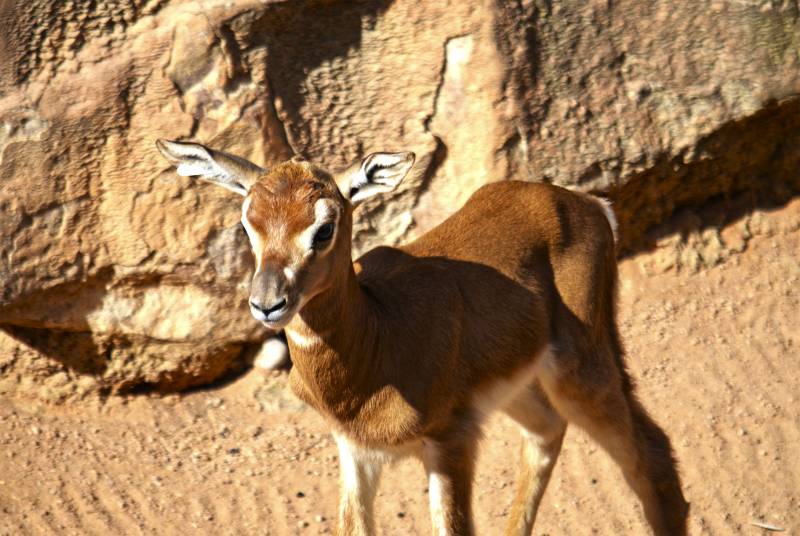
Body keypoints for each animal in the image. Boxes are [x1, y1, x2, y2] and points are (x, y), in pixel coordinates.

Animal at [159, 139, 692, 536]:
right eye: (247, 221)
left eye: (324, 227)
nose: (268, 302)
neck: (377, 342)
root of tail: (590, 205)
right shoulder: (355, 452)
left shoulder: (450, 442)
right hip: (520, 387)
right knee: (547, 432)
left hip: (581, 371)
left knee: (651, 455)